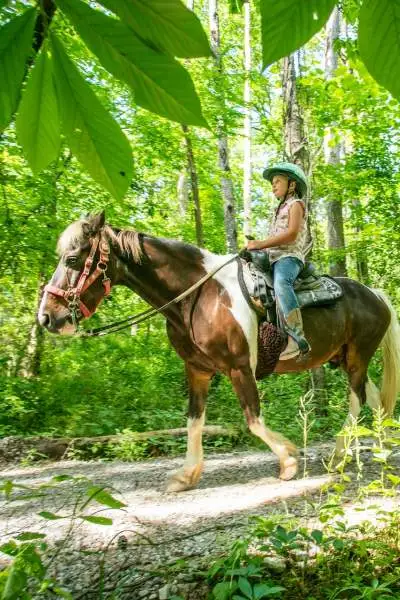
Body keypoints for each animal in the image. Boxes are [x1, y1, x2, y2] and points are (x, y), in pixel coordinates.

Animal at [37, 213, 400, 490]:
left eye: (72, 259)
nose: (47, 318)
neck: (197, 296)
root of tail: (375, 294)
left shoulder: (239, 367)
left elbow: (252, 419)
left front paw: (288, 459)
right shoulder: (197, 370)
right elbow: (194, 421)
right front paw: (187, 475)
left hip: (358, 356)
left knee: (356, 400)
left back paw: (340, 455)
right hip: (345, 359)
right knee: (374, 400)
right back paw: (382, 447)